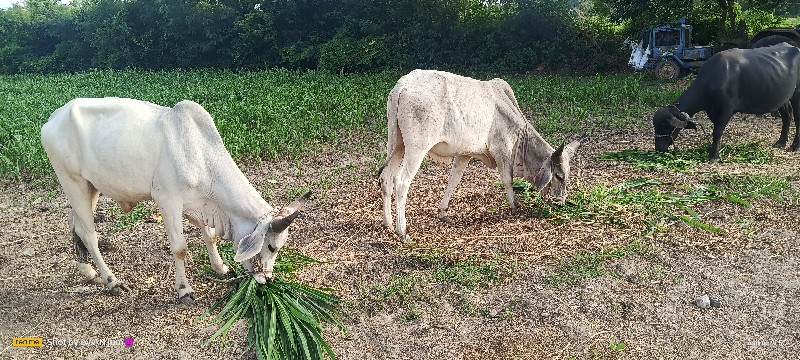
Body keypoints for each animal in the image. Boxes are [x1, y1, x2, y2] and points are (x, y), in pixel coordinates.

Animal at [378, 69, 580, 239]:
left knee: (386, 177)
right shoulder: (502, 150)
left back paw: (388, 224)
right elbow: (508, 179)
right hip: (416, 148)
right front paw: (515, 205)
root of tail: (403, 84)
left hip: (397, 144)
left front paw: (443, 212)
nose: (560, 203)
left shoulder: (464, 154)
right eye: (559, 176)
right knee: (401, 181)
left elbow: (454, 180)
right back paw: (402, 230)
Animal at [652, 43, 800, 161]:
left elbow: (717, 131)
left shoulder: (727, 108)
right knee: (787, 116)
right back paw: (781, 142)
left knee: (797, 119)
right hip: (782, 98)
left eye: (665, 126)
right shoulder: (712, 111)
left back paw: (794, 145)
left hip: (797, 94)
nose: (659, 148)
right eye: (655, 125)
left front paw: (713, 156)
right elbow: (717, 129)